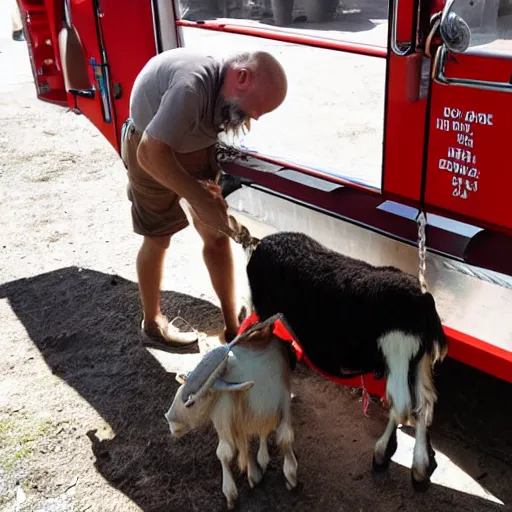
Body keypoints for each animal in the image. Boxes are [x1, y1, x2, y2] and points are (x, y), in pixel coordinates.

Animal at [166, 324, 298, 508]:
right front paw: (242, 485)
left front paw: (291, 476)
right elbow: (227, 451)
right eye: (179, 390)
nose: (170, 420)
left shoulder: (283, 401)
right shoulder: (228, 415)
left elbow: (285, 437)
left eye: (190, 403)